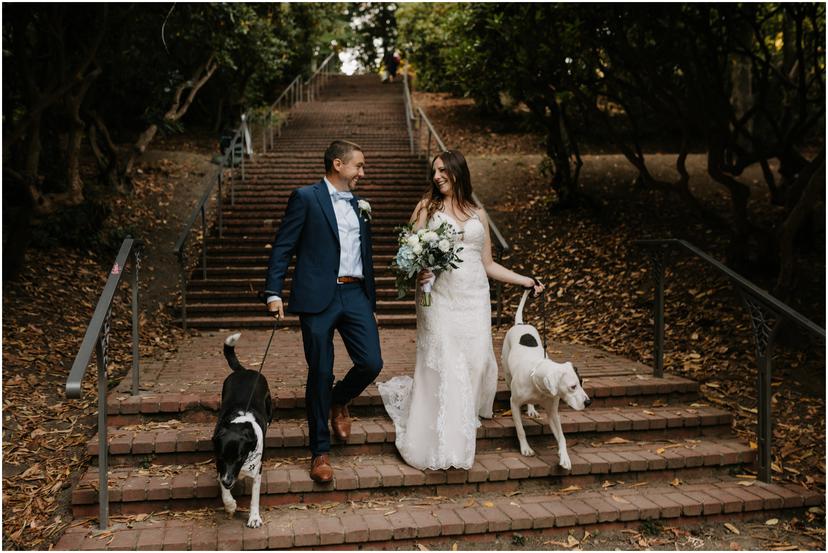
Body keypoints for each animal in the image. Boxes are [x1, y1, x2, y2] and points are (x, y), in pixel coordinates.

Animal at [210, 332, 272, 528]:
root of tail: (244, 371)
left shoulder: (257, 469)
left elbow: (254, 497)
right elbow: (224, 492)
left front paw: (254, 517)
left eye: (239, 458)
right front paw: (230, 505)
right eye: (222, 457)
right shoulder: (220, 466)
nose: (228, 481)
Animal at [502, 286, 592, 468]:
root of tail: (520, 324)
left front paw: (564, 456)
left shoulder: (552, 412)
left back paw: (531, 409)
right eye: (573, 387)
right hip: (507, 374)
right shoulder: (514, 403)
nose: (588, 402)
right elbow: (520, 429)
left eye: (582, 382)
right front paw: (525, 448)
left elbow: (562, 437)